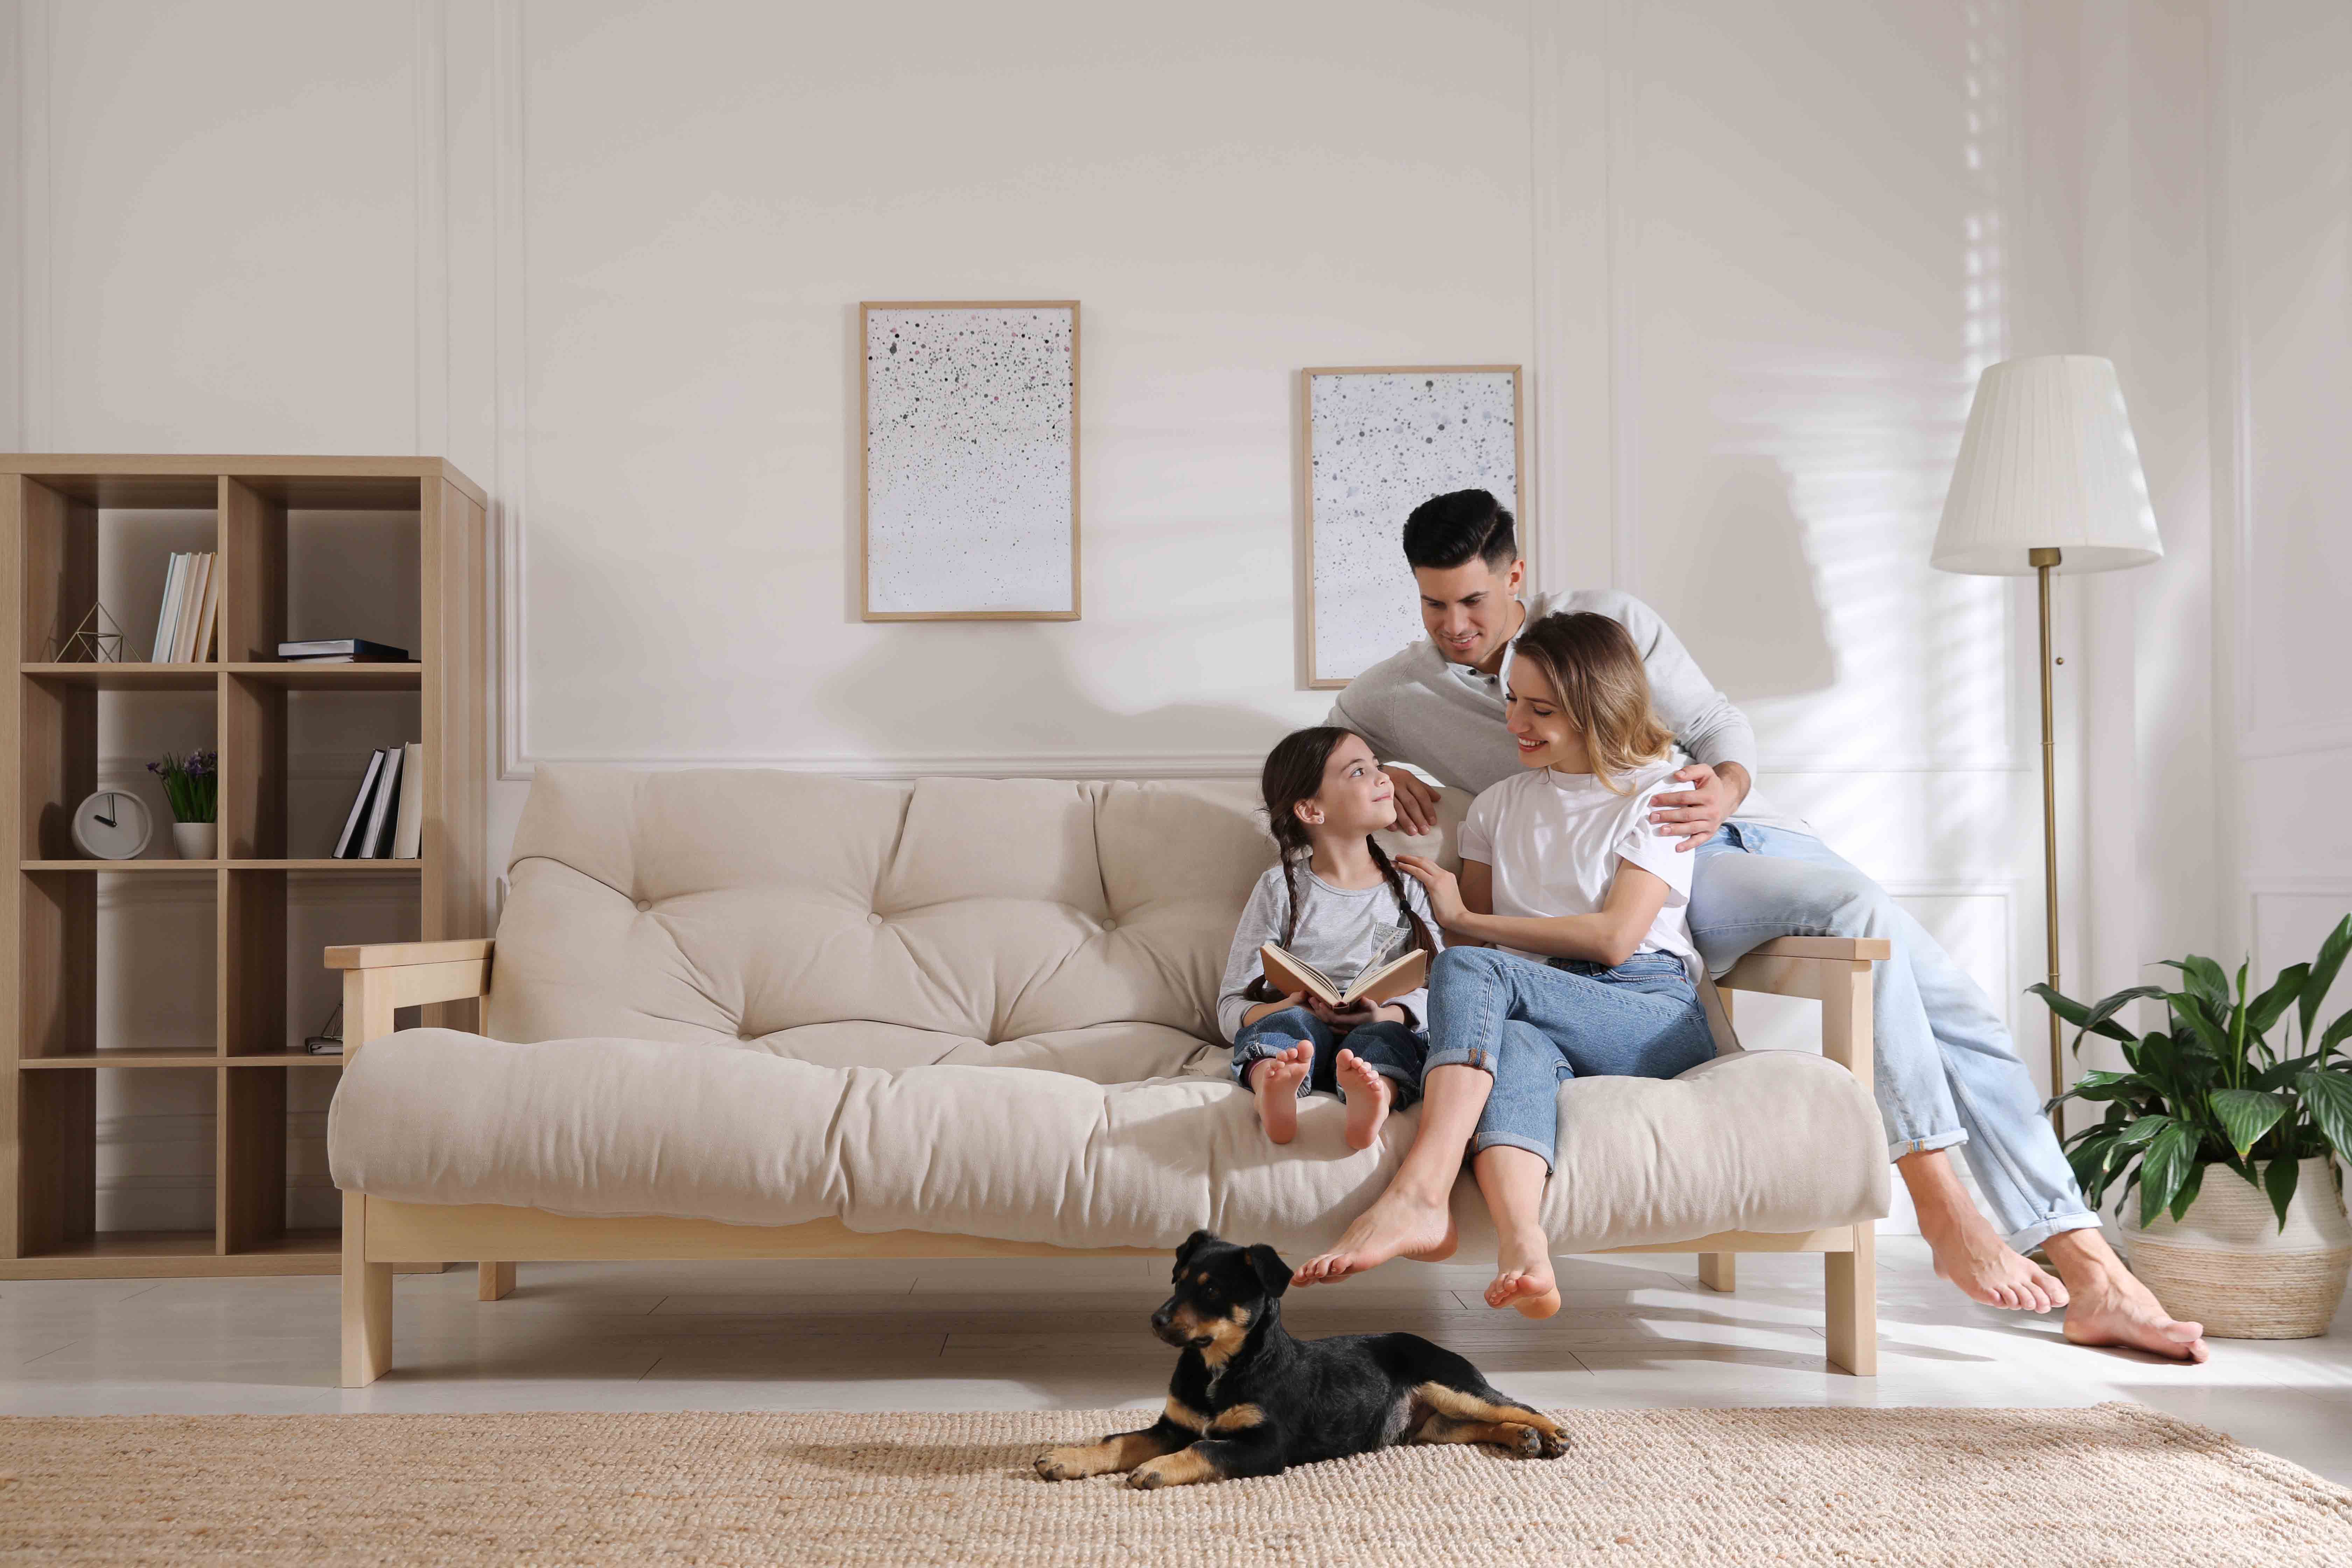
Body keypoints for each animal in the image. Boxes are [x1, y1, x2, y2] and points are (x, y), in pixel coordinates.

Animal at [1035, 1232, 1562, 1495]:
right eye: (1178, 1279)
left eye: (1212, 1290)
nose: (1156, 1320)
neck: (1219, 1367)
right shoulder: (1174, 1424)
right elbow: (1118, 1440)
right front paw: (1066, 1458)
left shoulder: (1266, 1446)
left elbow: (1203, 1448)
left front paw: (1157, 1469)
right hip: (1433, 1425)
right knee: (1481, 1425)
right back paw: (1523, 1439)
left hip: (1450, 1383)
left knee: (1512, 1405)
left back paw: (1552, 1434)